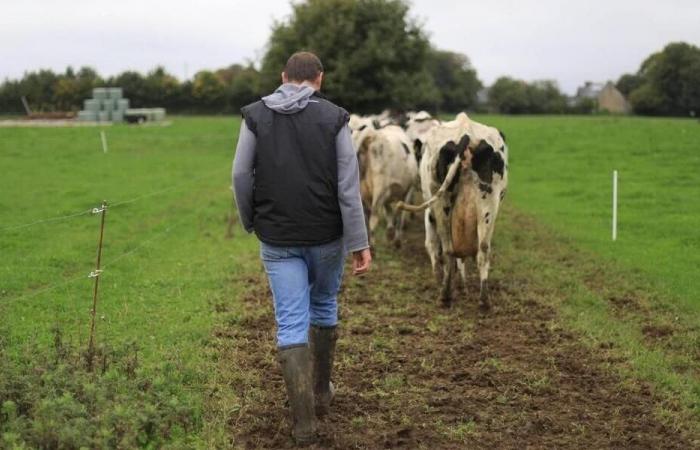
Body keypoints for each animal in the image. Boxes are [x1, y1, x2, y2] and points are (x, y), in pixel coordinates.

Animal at [396, 112, 506, 310]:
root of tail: (466, 132)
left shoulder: (430, 213)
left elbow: (432, 245)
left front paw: (440, 278)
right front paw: (461, 284)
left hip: (441, 204)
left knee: (447, 249)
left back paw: (445, 295)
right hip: (489, 204)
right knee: (483, 249)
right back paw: (484, 300)